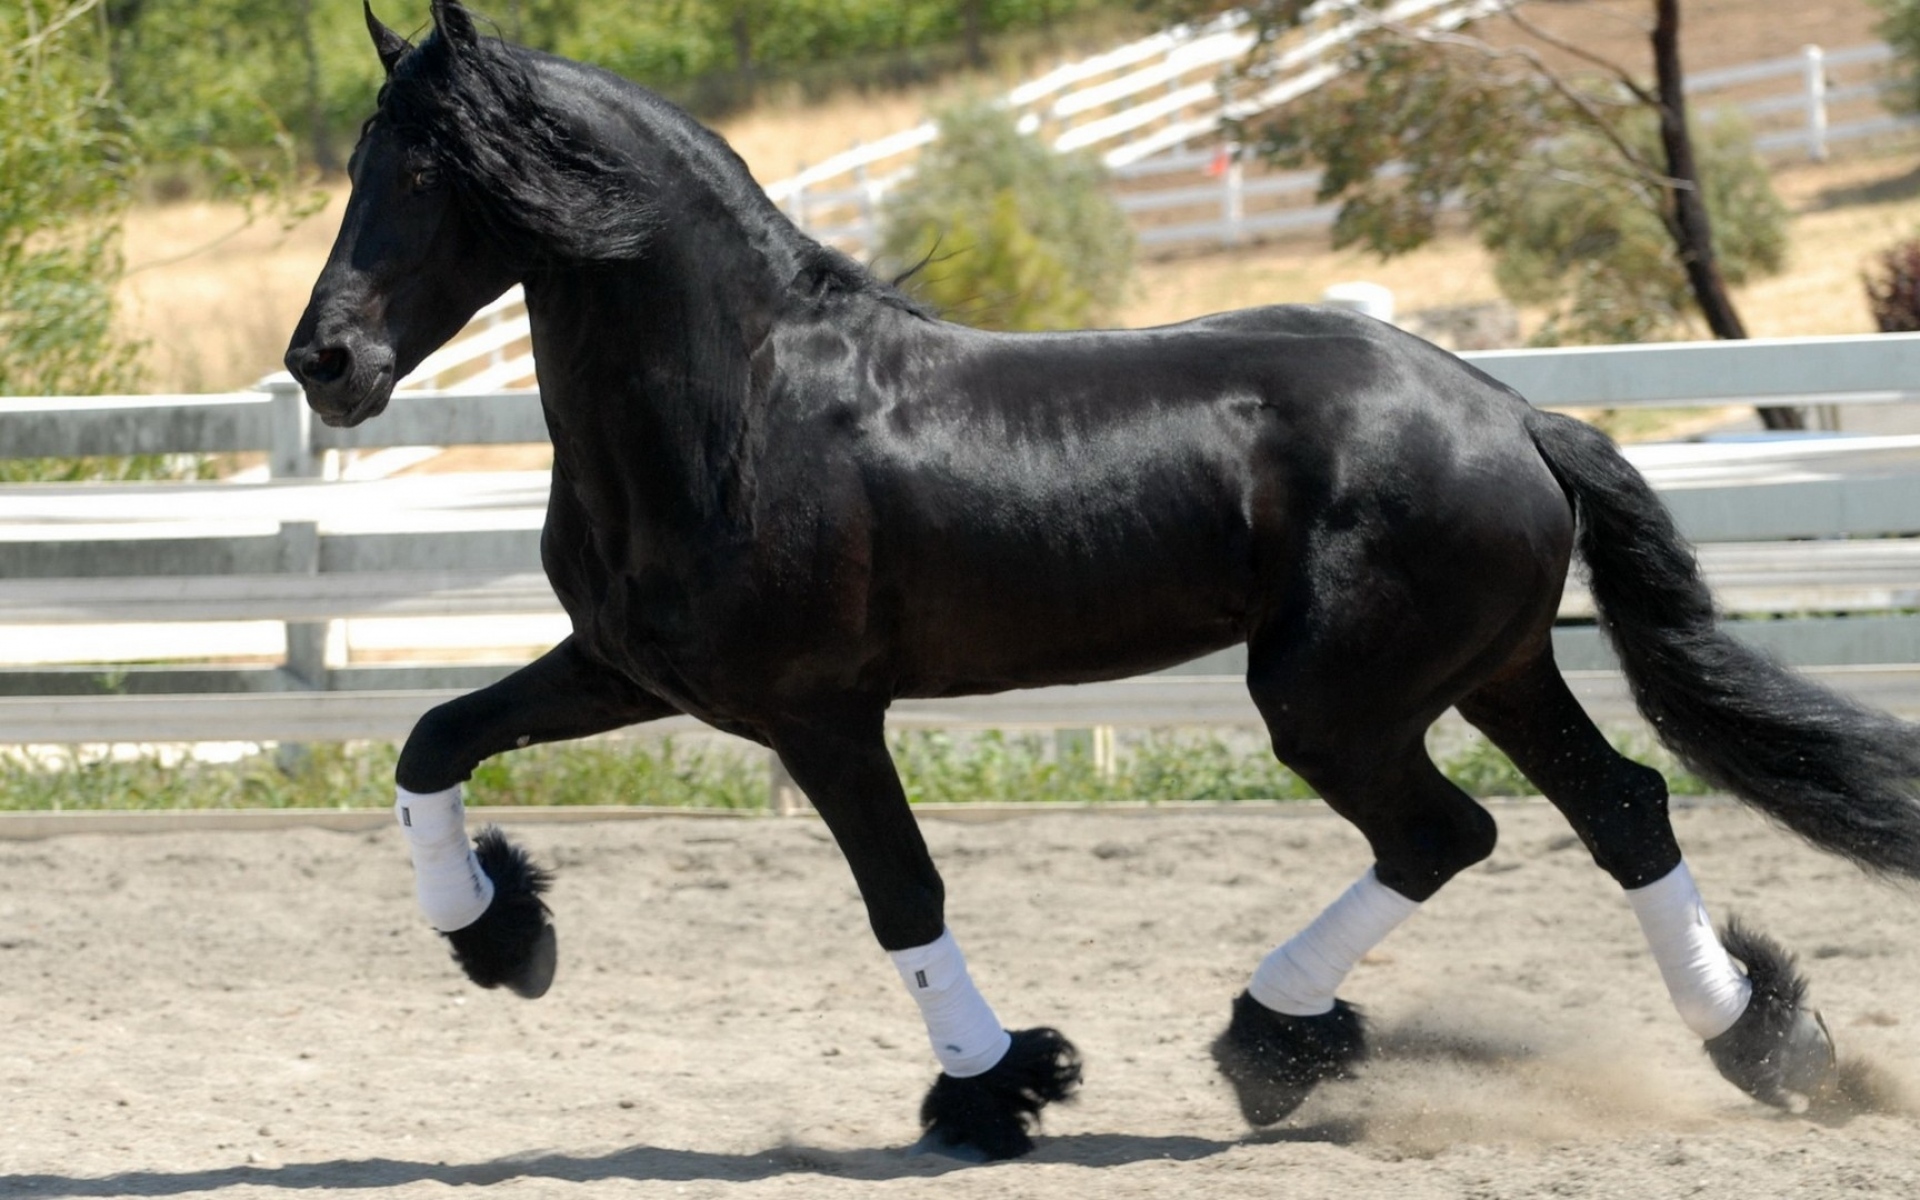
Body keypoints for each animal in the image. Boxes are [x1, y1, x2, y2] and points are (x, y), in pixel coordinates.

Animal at [287, 1, 1920, 1161]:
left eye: (427, 170)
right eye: (358, 165)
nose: (327, 363)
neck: (739, 401)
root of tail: (1513, 413)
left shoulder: (821, 715)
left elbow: (902, 894)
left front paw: (996, 1090)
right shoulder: (630, 672)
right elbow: (430, 740)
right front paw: (501, 935)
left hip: (1336, 699)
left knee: (1449, 832)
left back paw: (1273, 1043)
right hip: (1495, 669)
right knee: (1622, 810)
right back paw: (1768, 1047)